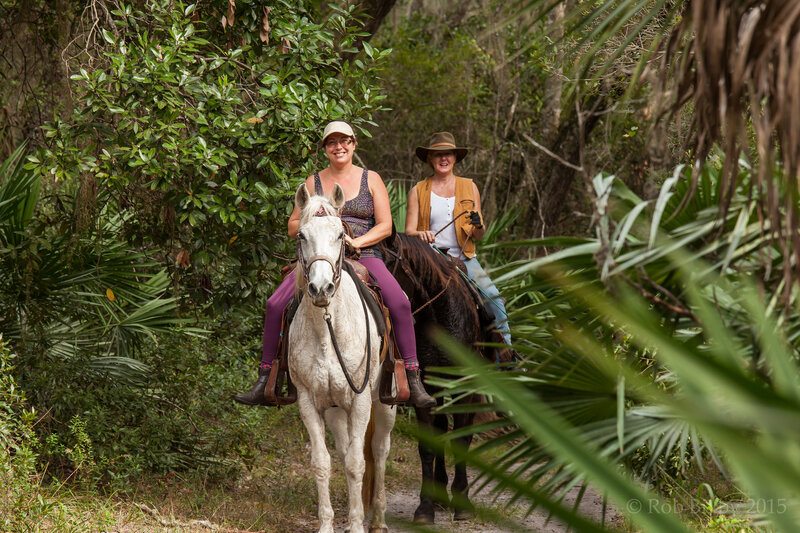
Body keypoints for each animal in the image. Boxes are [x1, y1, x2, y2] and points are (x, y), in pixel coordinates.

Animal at [290, 183, 396, 532]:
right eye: (302, 235)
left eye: (340, 234)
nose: (321, 288)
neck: (327, 330)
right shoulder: (308, 401)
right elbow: (323, 462)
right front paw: (327, 524)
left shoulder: (361, 401)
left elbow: (356, 463)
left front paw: (358, 524)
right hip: (336, 409)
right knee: (345, 447)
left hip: (385, 403)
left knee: (379, 450)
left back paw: (378, 518)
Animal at [380, 231, 506, 520]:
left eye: (385, 264)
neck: (440, 314)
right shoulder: (425, 387)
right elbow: (428, 445)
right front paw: (426, 506)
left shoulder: (465, 386)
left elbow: (461, 439)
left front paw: (462, 502)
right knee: (440, 430)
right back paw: (439, 495)